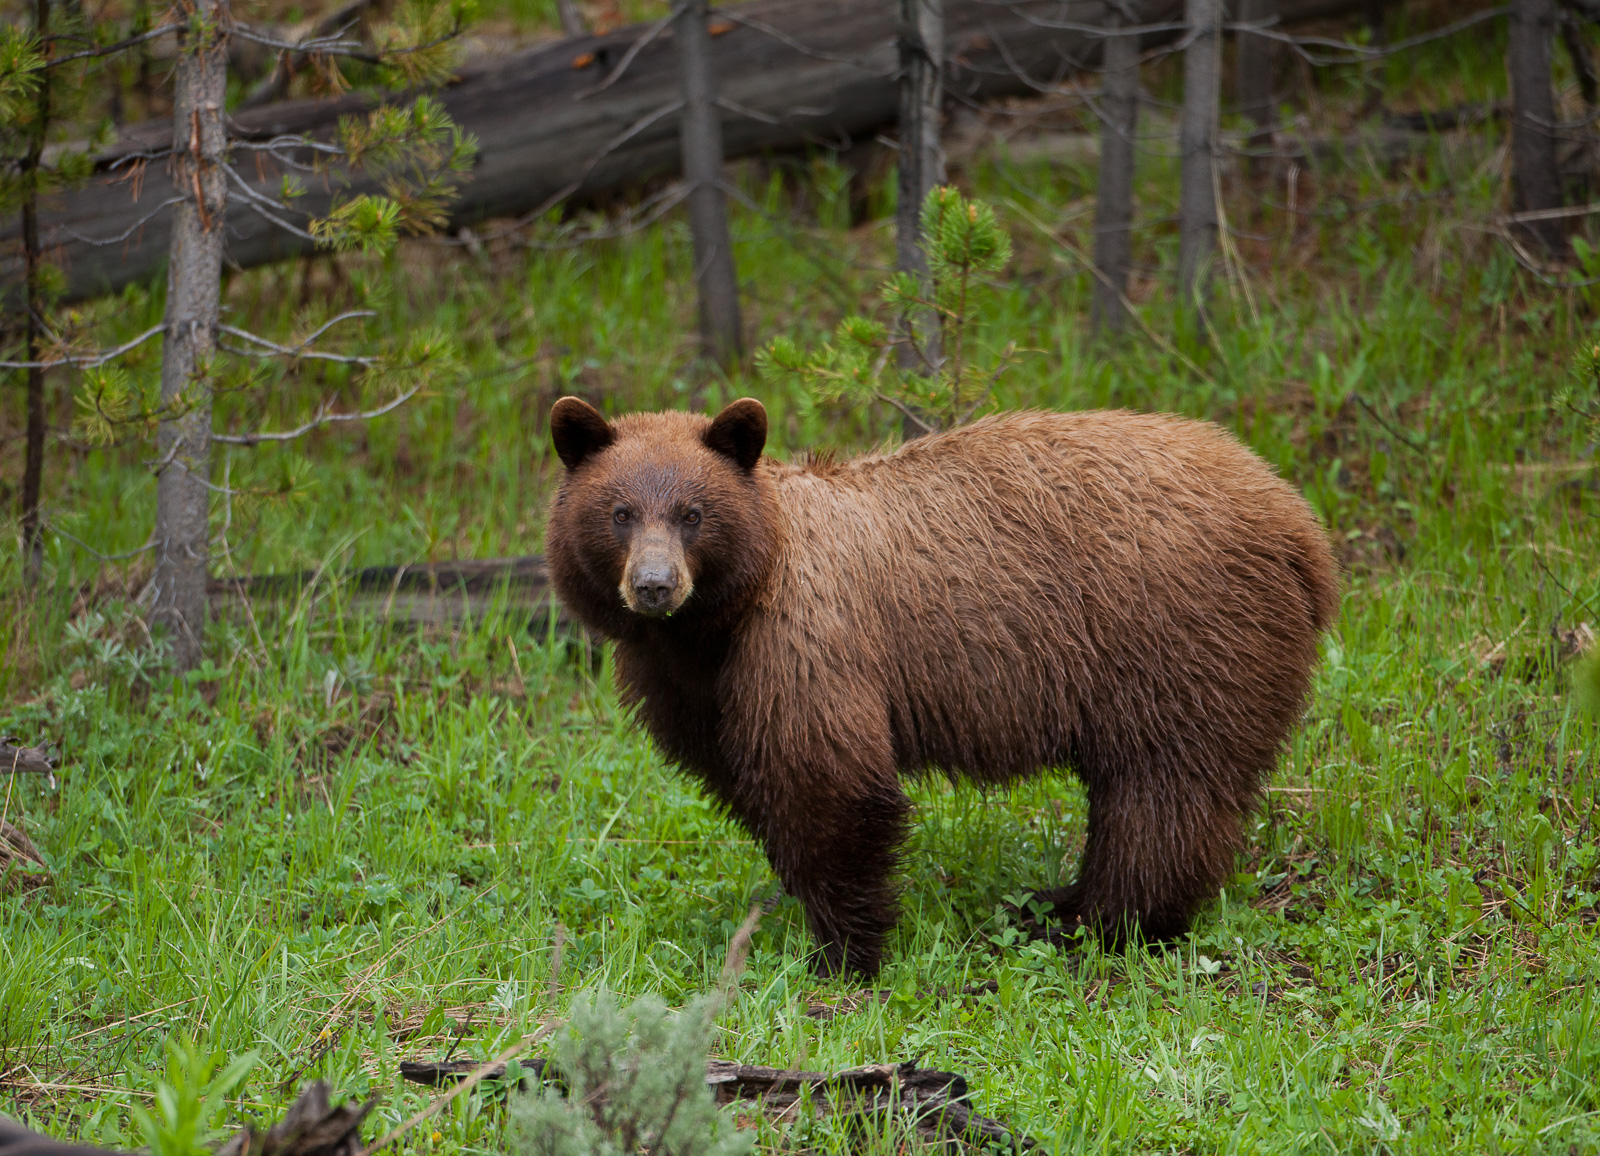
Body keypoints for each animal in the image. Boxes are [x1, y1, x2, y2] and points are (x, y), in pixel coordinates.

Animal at [547, 397, 1337, 973]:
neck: (717, 623)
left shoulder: (806, 643)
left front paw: (846, 951)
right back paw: (1063, 901)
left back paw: (1101, 921)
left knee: (1162, 791)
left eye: (692, 513)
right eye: (619, 512)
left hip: (1174, 642)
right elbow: (751, 784)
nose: (655, 586)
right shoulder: (695, 690)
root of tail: (1300, 526)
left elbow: (834, 785)